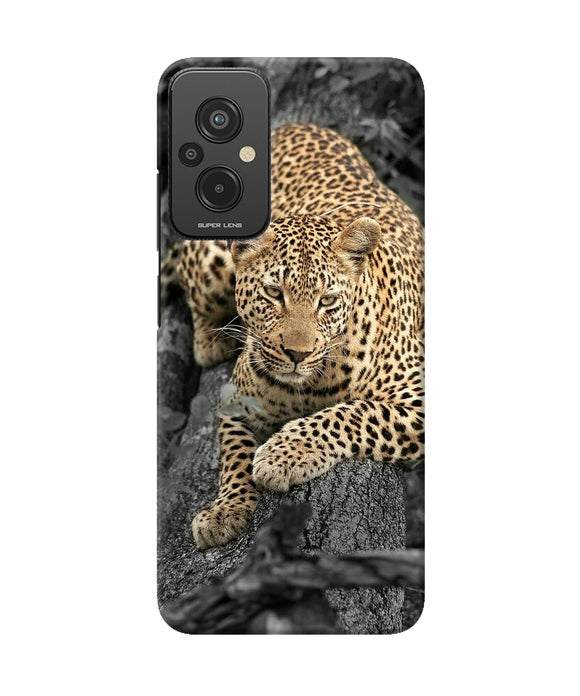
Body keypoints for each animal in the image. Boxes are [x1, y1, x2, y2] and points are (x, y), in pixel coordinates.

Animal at [161, 123, 424, 550]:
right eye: (273, 293)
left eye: (327, 300)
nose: (297, 354)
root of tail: (292, 126)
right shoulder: (235, 400)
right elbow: (234, 455)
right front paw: (224, 511)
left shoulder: (418, 398)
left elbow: (353, 413)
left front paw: (283, 455)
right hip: (212, 257)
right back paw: (211, 340)